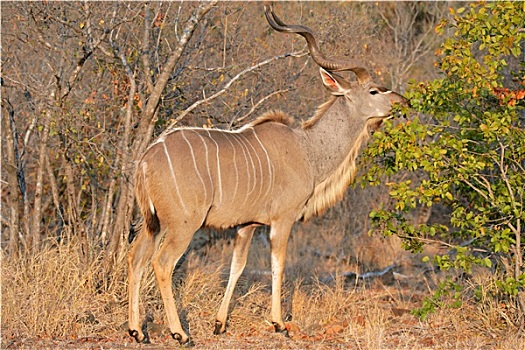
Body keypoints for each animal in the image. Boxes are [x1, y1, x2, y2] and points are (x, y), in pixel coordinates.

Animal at [126, 6, 406, 346]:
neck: (307, 148)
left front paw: (219, 323)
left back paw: (137, 330)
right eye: (374, 90)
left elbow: (237, 266)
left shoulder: (247, 224)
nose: (403, 102)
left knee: (136, 258)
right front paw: (279, 323)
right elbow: (278, 265)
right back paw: (179, 333)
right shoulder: (282, 220)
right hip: (182, 224)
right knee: (162, 263)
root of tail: (146, 159)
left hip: (151, 223)